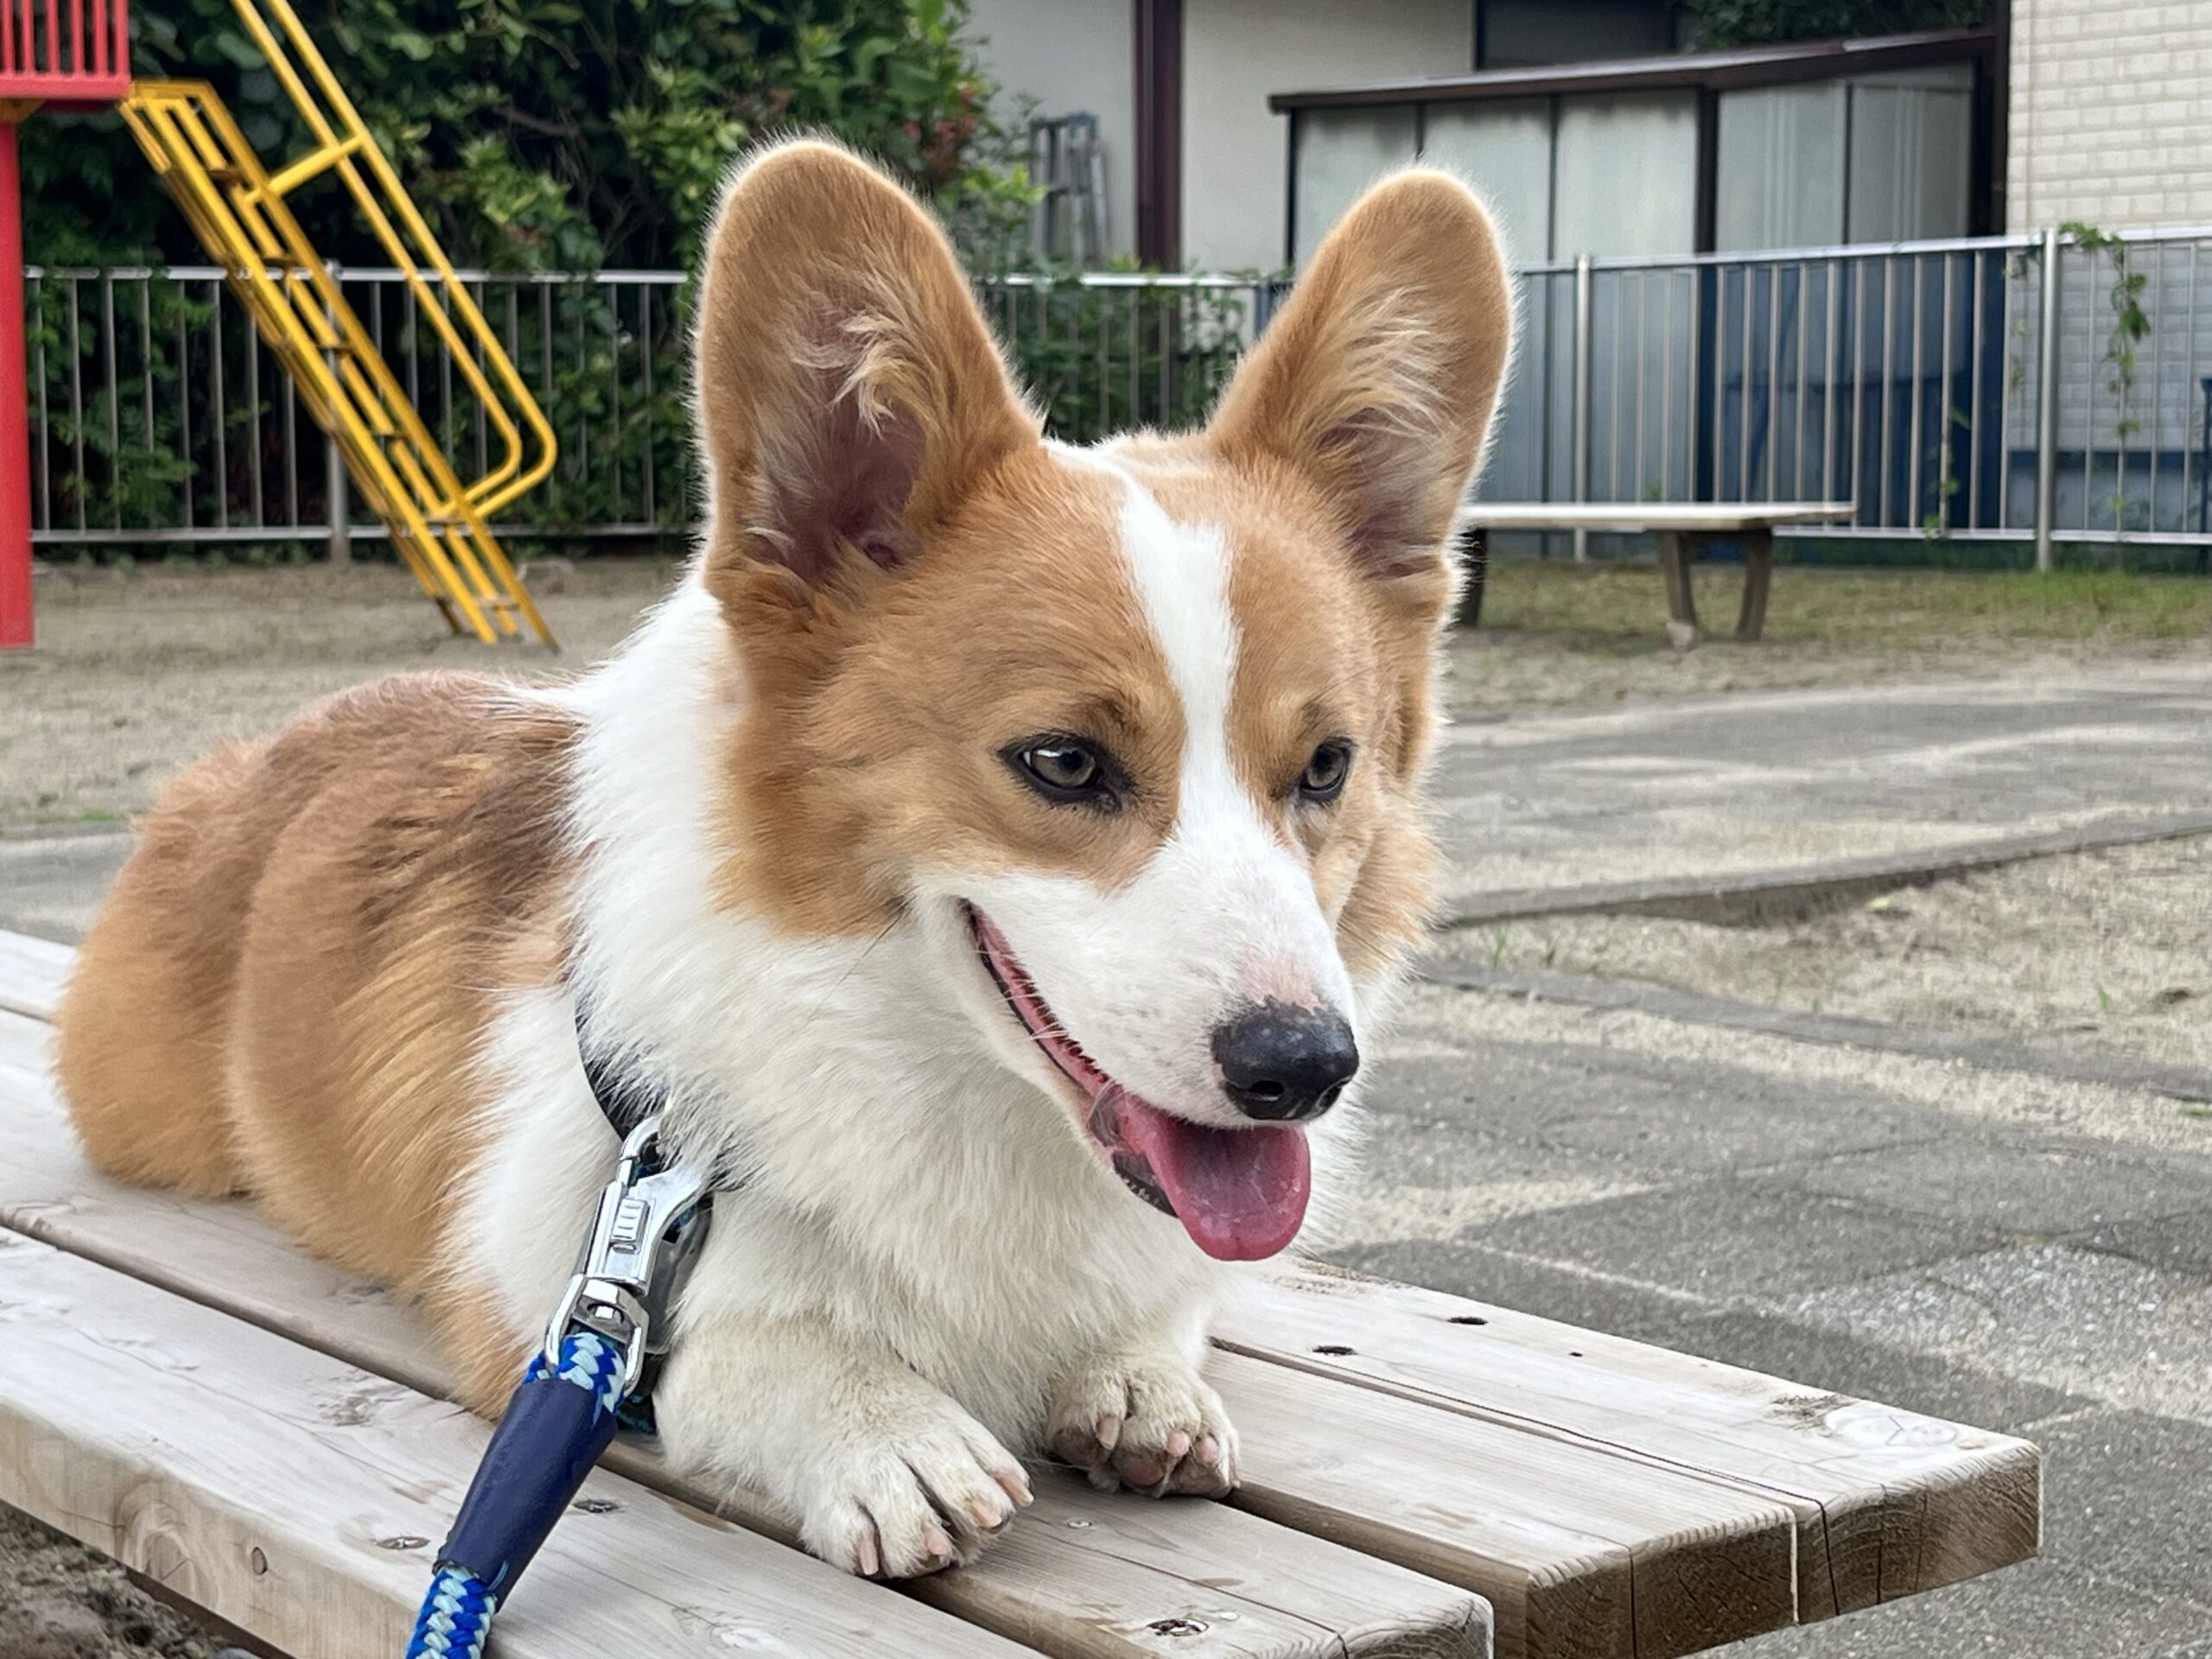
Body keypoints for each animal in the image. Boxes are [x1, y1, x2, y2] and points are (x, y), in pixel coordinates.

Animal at [55, 137, 1503, 1574]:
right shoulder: (538, 1289)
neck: (952, 1086)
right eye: (1063, 763)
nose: (1303, 1072)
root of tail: (270, 745)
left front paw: (1142, 1379)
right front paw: (879, 1427)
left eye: (1327, 766)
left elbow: (1166, 1313)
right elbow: (723, 1351)